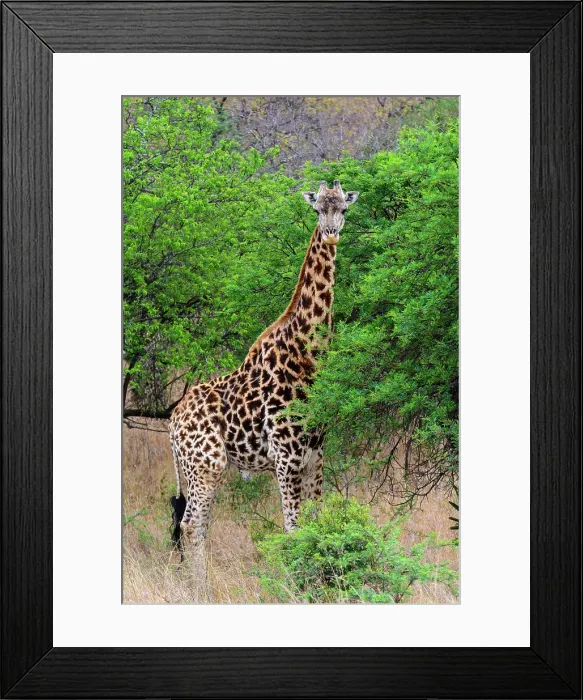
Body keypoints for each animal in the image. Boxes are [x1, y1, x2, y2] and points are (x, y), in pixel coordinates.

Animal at [169, 180, 359, 579]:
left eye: (343, 209)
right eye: (317, 209)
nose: (331, 233)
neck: (307, 355)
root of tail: (172, 423)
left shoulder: (316, 453)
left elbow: (319, 523)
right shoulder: (285, 456)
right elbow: (292, 531)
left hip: (198, 469)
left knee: (196, 525)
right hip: (207, 465)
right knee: (190, 525)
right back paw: (201, 588)